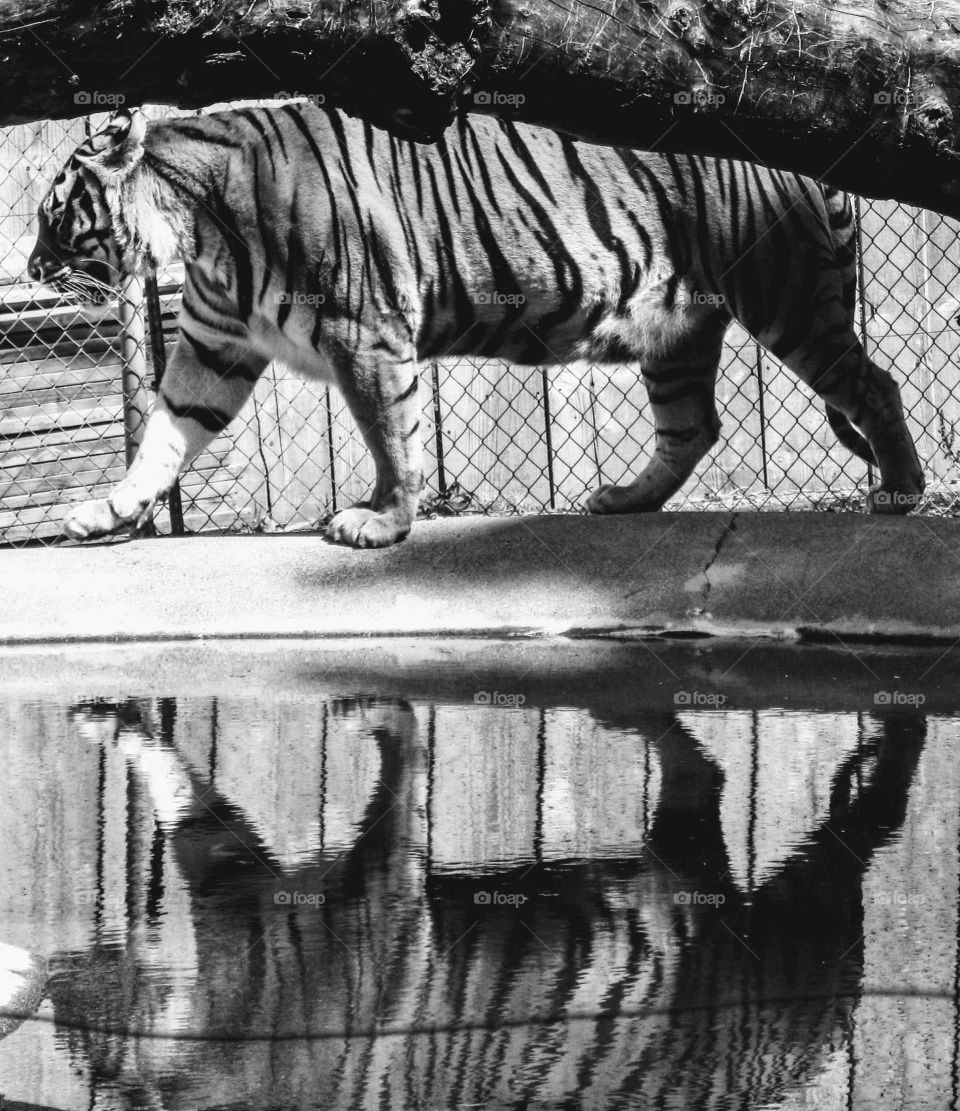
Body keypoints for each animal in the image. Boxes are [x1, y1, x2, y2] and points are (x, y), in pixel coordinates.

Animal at [27, 103, 924, 548]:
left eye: (52, 216)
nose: (32, 270)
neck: (196, 229)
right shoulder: (216, 344)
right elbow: (165, 435)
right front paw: (103, 513)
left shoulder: (364, 331)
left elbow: (391, 435)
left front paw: (379, 523)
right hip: (681, 329)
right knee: (693, 426)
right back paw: (622, 499)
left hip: (783, 298)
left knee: (874, 383)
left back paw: (901, 492)